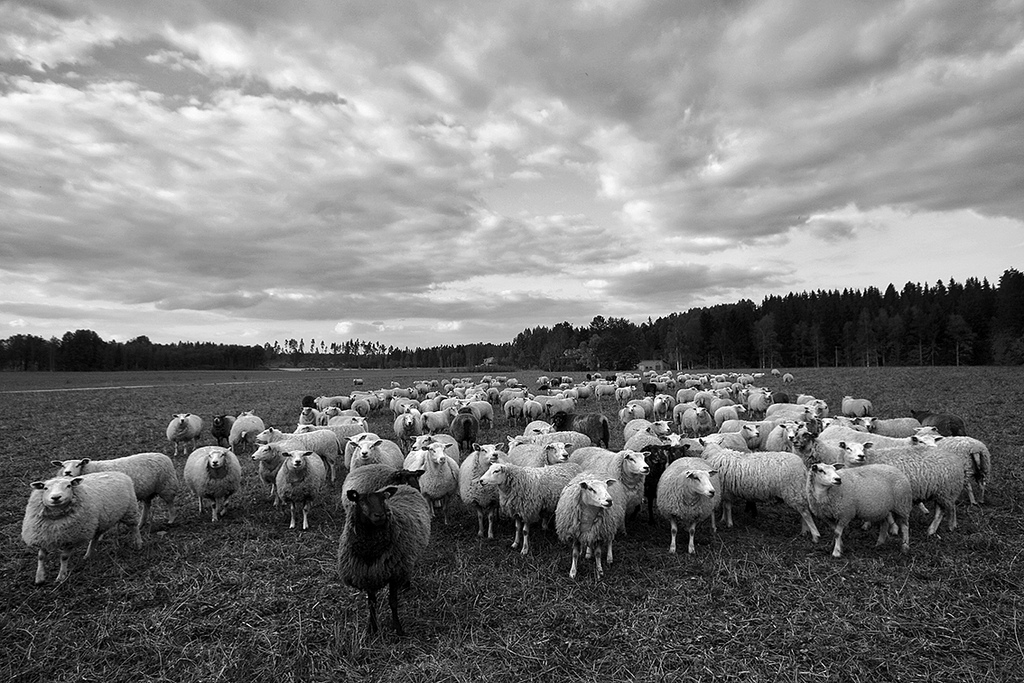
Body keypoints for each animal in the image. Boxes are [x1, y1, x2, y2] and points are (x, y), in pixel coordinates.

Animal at [338, 485, 431, 636]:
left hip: (407, 557)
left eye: (383, 499)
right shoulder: (367, 574)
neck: (370, 551)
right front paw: (372, 629)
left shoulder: (394, 573)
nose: (380, 515)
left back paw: (406, 585)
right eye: (361, 501)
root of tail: (404, 486)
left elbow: (393, 602)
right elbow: (371, 604)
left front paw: (398, 629)